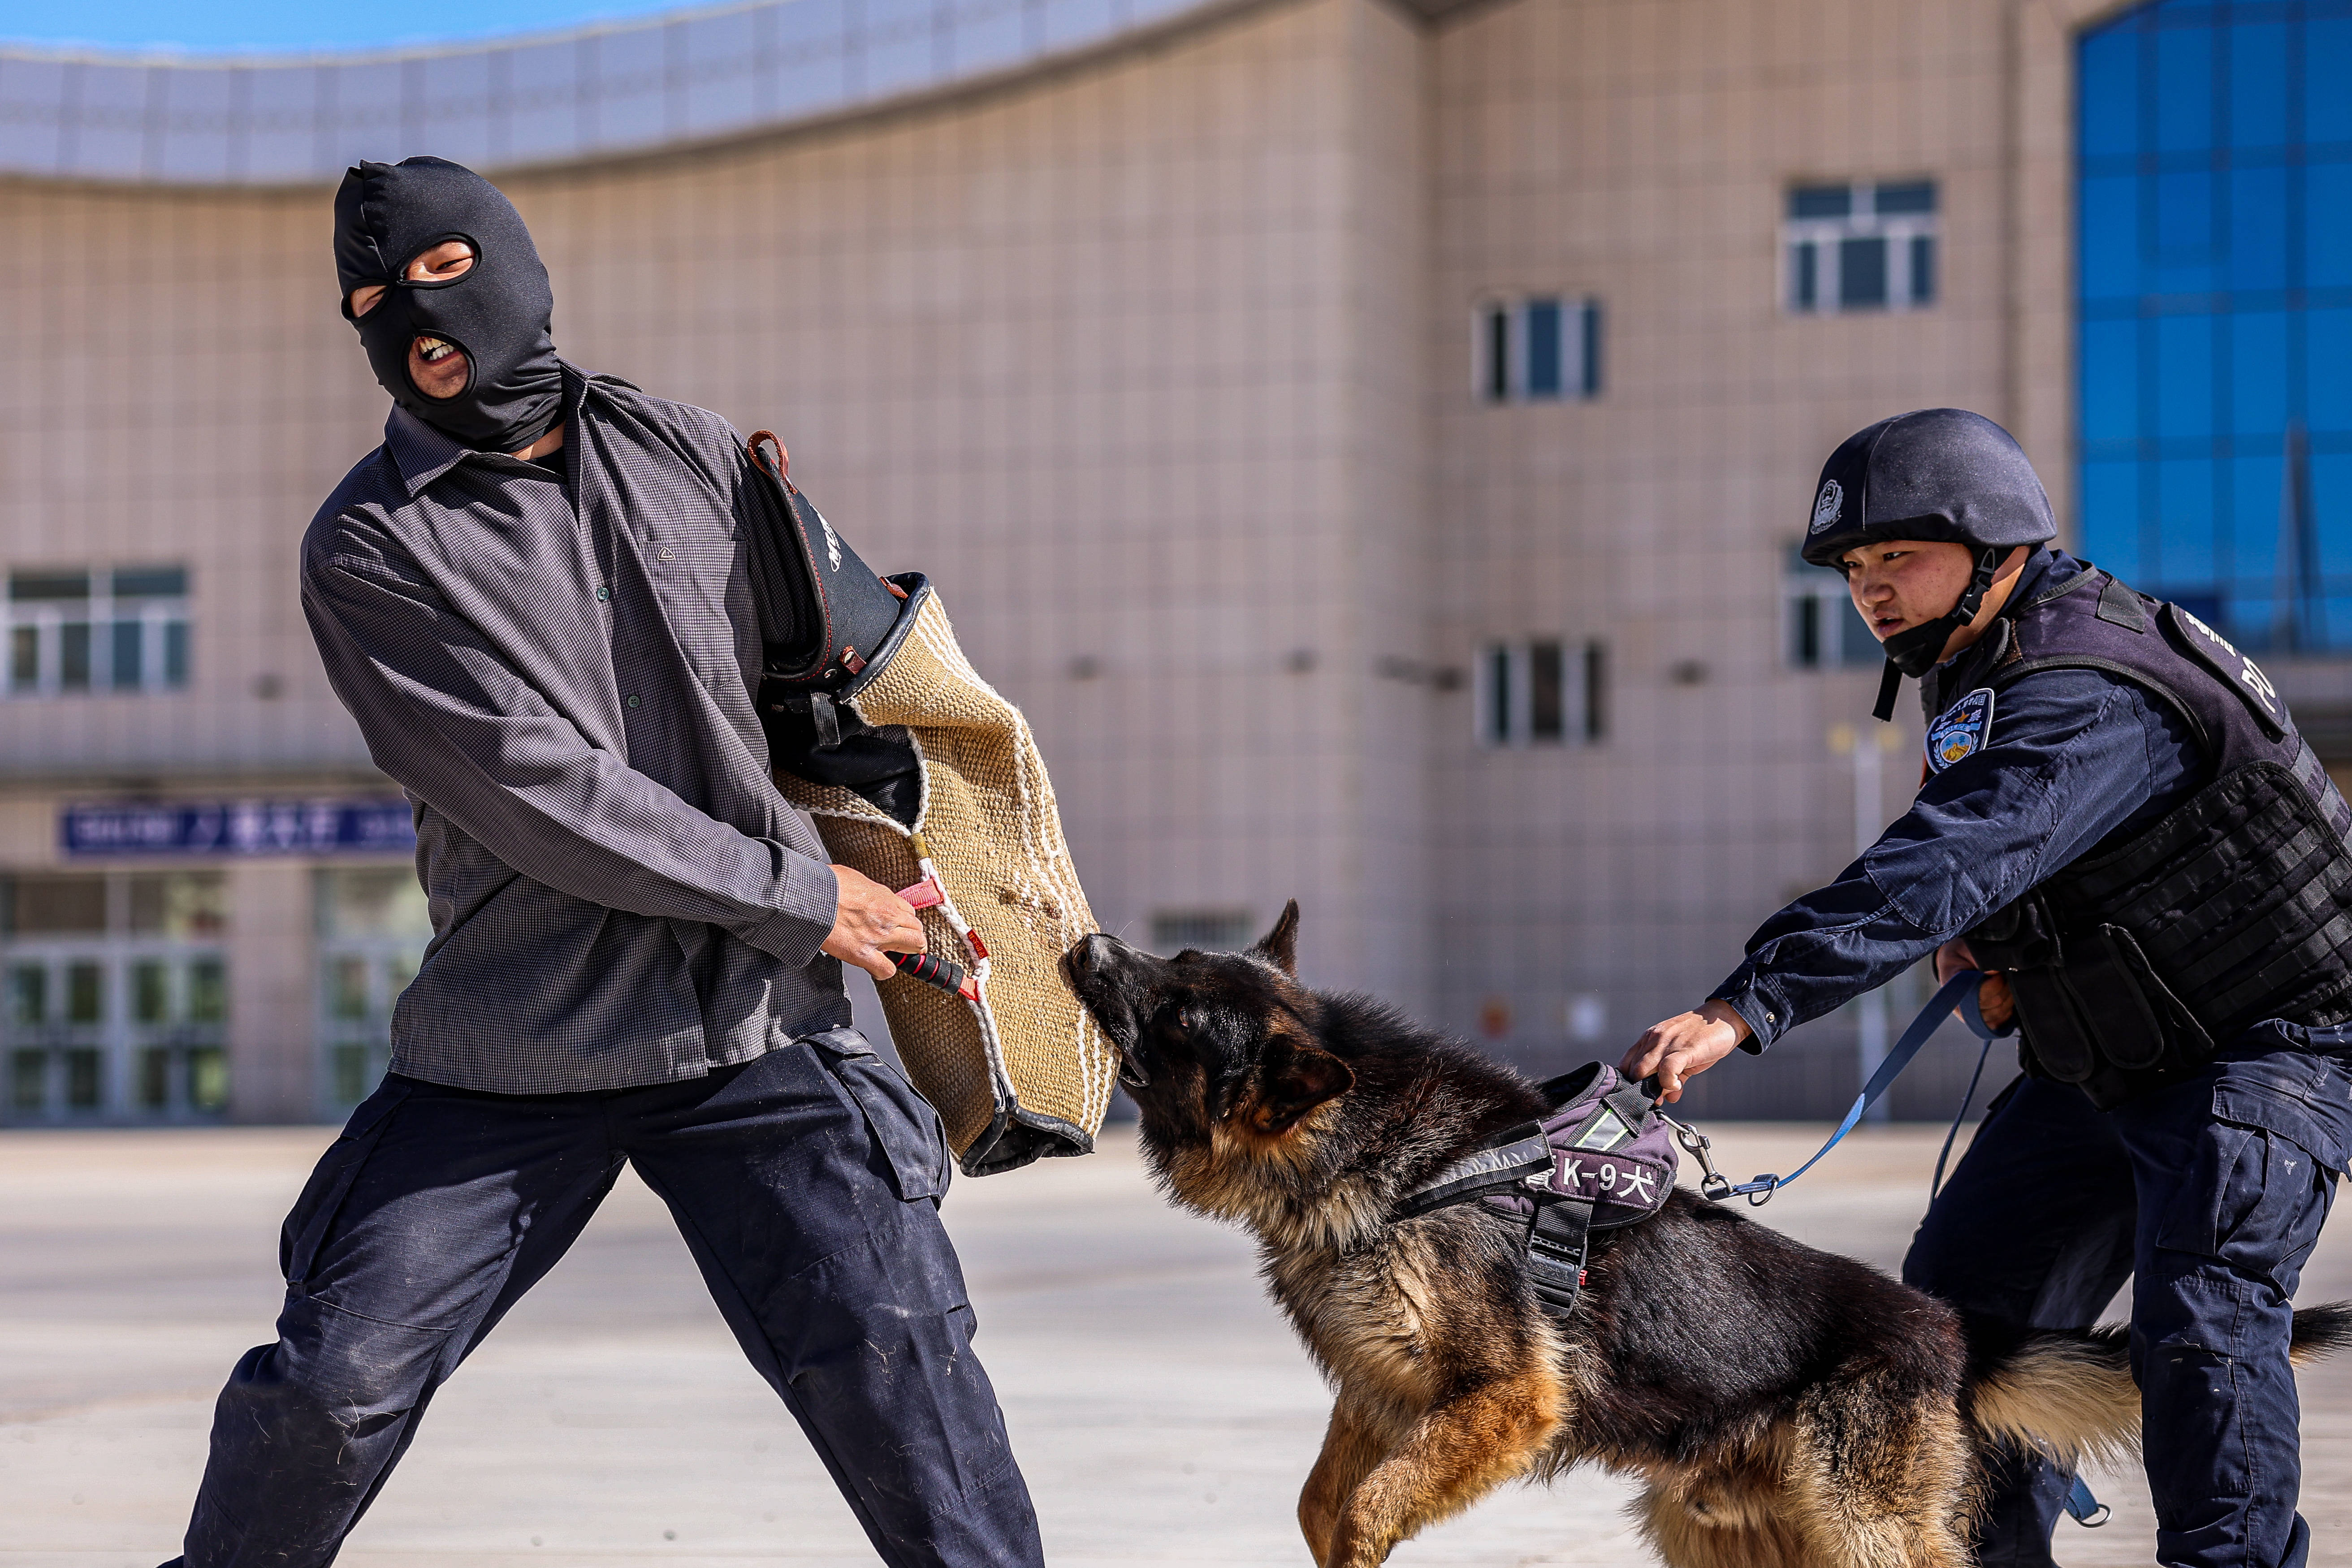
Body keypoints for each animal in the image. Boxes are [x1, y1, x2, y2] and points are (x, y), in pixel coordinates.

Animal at [1068, 907, 2352, 1568]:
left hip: (1863, 1535)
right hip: (1720, 1532)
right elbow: (1321, 1502)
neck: (1384, 1154)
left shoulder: (1504, 1399)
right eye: (1173, 960)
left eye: (1174, 1007)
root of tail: (1944, 1330)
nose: (1084, 946)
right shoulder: (1388, 1392)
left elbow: (1369, 1508)